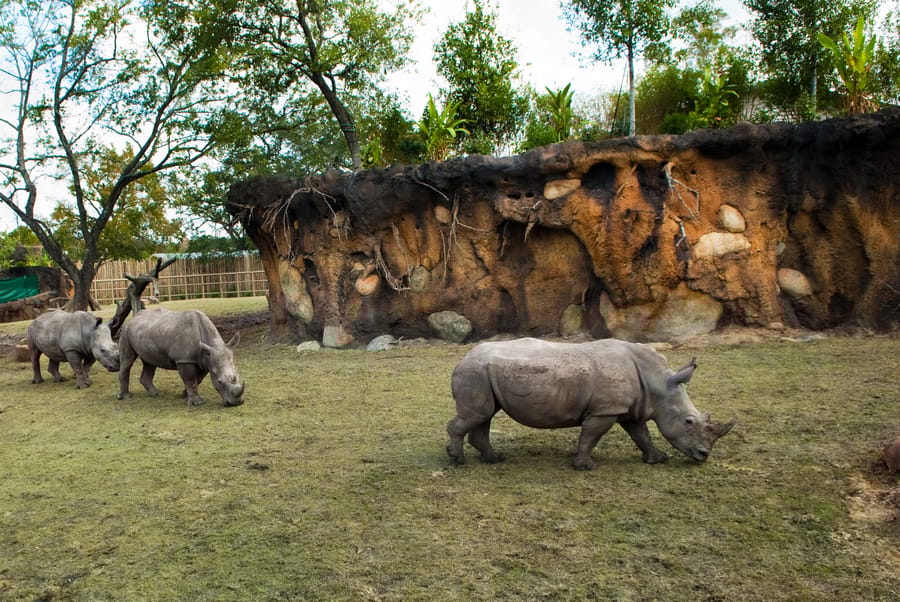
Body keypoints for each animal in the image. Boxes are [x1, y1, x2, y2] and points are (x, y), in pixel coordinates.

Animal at [116, 308, 245, 407]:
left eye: (238, 376)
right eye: (219, 381)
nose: (236, 403)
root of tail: (134, 317)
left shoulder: (205, 361)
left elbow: (198, 379)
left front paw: (185, 394)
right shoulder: (184, 360)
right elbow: (190, 379)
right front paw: (197, 403)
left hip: (145, 332)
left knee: (149, 362)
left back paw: (155, 395)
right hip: (125, 330)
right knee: (127, 361)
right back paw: (125, 397)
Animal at [446, 338, 736, 470]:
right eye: (689, 421)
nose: (704, 455)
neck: (658, 382)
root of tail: (462, 358)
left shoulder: (629, 409)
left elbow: (641, 434)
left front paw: (657, 459)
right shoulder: (605, 410)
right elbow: (591, 436)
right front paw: (585, 466)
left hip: (482, 373)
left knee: (485, 415)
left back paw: (493, 459)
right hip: (474, 372)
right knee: (479, 414)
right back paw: (458, 461)